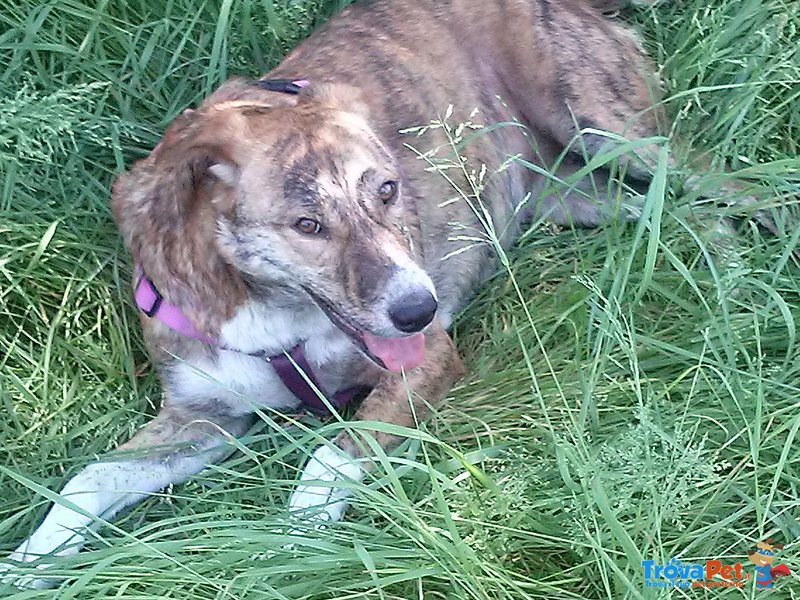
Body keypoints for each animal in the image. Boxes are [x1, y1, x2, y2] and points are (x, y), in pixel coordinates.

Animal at [1, 0, 688, 588]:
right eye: (307, 226)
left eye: (388, 189)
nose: (418, 311)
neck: (268, 305)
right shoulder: (206, 416)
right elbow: (91, 477)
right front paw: (27, 565)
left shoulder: (426, 362)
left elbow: (329, 458)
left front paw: (292, 550)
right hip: (570, 192)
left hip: (608, 129)